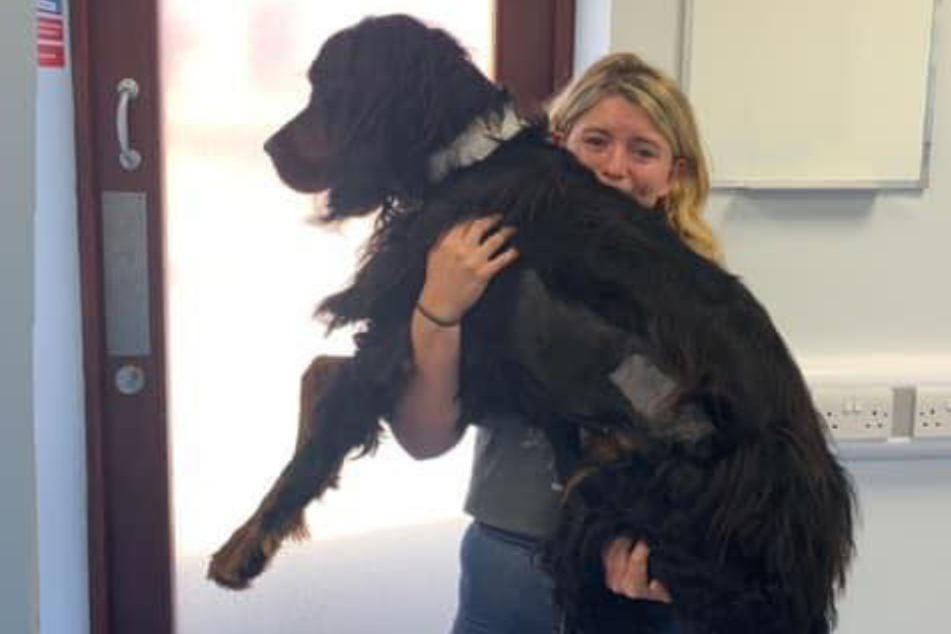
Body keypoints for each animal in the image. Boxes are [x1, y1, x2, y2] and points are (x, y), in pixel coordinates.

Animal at [212, 14, 860, 632]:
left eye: (330, 88)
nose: (269, 148)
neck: (463, 160)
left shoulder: (402, 336)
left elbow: (328, 408)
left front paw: (243, 548)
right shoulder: (474, 366)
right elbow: (320, 375)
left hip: (626, 501)